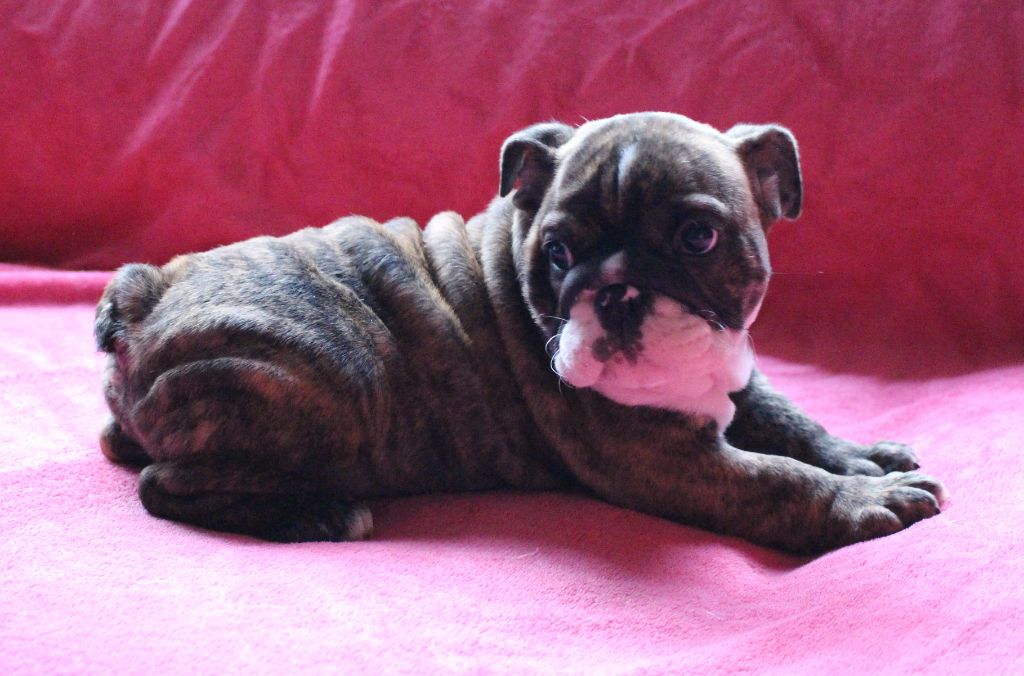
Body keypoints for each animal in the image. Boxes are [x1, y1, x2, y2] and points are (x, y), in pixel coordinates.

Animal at [95, 112, 945, 554]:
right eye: (559, 252)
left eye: (698, 238)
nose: (617, 292)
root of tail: (145, 293)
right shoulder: (662, 458)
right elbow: (774, 478)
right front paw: (859, 500)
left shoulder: (739, 379)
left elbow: (793, 423)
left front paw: (861, 459)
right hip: (337, 377)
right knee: (163, 486)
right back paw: (312, 512)